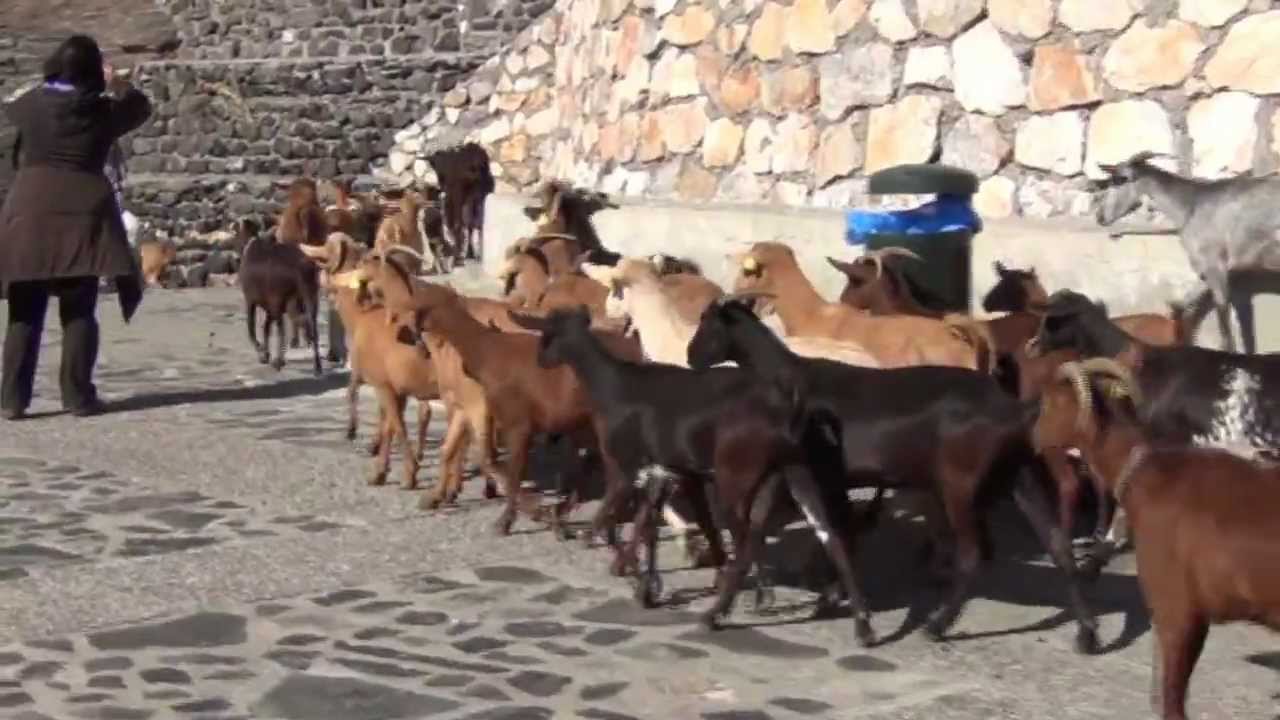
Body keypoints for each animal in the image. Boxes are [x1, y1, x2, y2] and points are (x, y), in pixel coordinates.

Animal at [238, 218, 322, 375]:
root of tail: (301, 266)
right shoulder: (270, 306)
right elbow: (265, 327)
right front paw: (265, 353)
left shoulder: (251, 301)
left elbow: (252, 330)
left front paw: (262, 352)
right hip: (308, 297)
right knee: (310, 325)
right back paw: (317, 366)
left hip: (281, 300)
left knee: (284, 329)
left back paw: (279, 361)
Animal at [510, 306, 874, 639]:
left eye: (548, 334)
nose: (541, 360)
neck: (614, 385)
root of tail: (788, 411)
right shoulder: (669, 470)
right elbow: (653, 523)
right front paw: (647, 583)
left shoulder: (627, 467)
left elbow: (614, 516)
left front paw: (631, 573)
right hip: (796, 472)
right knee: (829, 534)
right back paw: (861, 625)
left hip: (735, 479)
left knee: (747, 540)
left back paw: (720, 612)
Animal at [686, 297, 1101, 653]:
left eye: (707, 322)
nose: (691, 357)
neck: (787, 378)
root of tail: (1015, 410)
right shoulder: (814, 475)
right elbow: (818, 532)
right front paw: (829, 598)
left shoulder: (808, 473)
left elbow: (811, 534)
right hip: (1020, 476)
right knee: (1058, 545)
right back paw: (1087, 634)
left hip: (960, 484)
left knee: (972, 554)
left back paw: (937, 625)